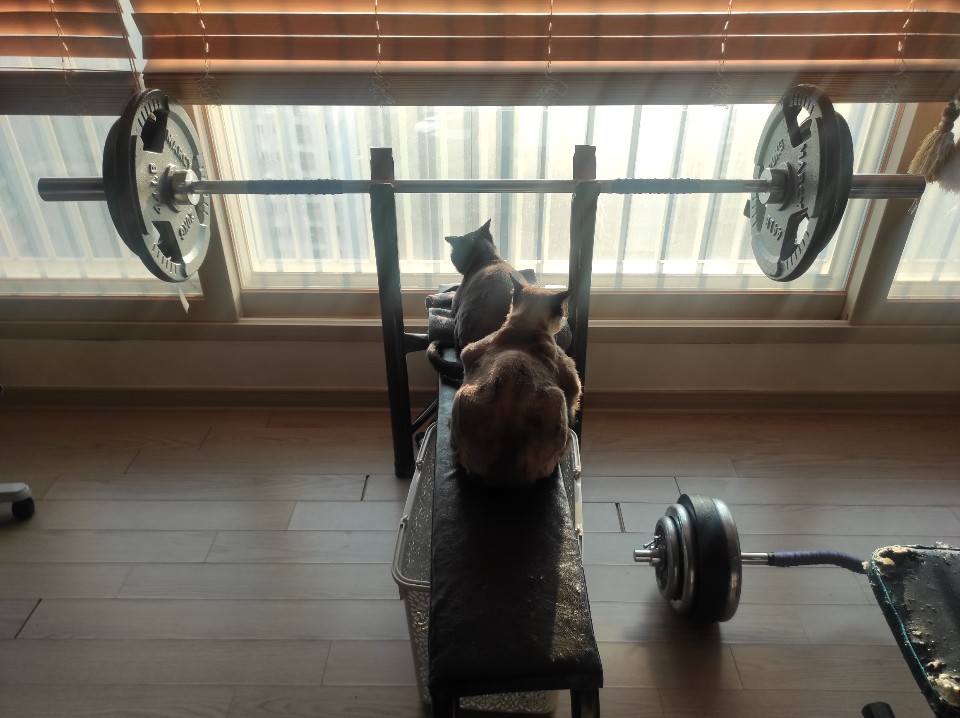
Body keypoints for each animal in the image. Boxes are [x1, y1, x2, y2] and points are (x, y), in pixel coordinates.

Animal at [450, 276, 582, 488]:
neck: (525, 328)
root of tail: (504, 478)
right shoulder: (573, 384)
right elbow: (574, 407)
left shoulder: (468, 353)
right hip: (558, 398)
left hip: (461, 395)